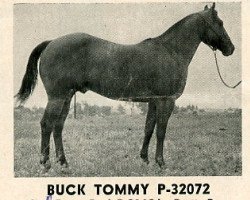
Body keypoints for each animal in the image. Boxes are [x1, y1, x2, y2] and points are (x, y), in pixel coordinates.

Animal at [15, 3, 234, 170]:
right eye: (220, 23)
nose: (231, 49)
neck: (170, 51)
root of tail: (52, 42)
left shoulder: (153, 102)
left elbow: (149, 128)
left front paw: (144, 159)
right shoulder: (166, 101)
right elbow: (161, 131)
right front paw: (160, 162)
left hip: (66, 97)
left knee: (58, 126)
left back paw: (63, 162)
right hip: (57, 97)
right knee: (47, 124)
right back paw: (45, 163)